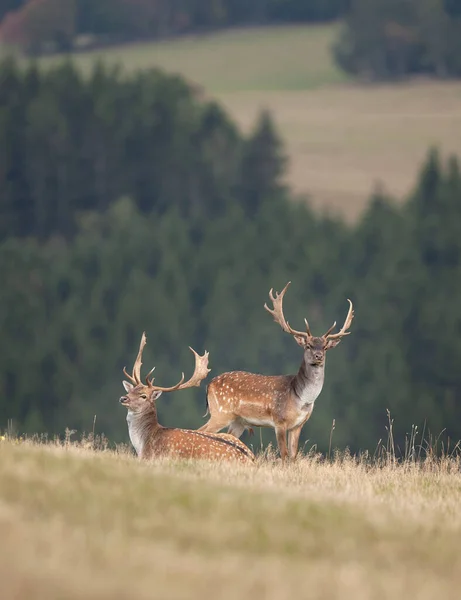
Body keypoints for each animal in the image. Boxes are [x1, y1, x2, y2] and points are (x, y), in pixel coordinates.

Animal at [198, 284, 352, 462]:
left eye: (325, 347)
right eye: (308, 345)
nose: (318, 356)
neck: (301, 399)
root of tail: (209, 385)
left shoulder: (298, 425)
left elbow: (293, 455)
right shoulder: (279, 420)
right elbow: (284, 455)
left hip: (238, 421)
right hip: (221, 412)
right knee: (202, 430)